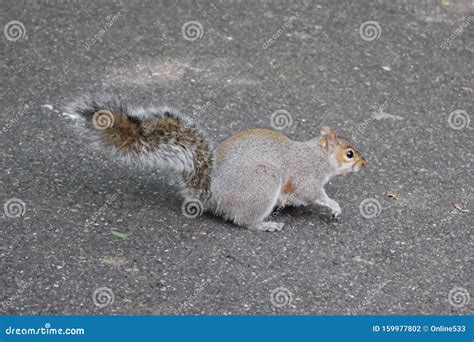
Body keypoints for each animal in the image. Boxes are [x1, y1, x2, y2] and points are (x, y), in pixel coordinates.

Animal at [65, 95, 366, 231]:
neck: (319, 155)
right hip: (263, 182)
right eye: (349, 154)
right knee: (244, 220)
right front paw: (333, 206)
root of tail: (212, 196)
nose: (364, 163)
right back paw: (265, 225)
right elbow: (312, 193)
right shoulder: (308, 175)